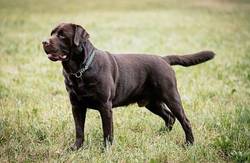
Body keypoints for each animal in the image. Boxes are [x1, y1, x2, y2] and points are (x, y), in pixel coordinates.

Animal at [42, 22, 214, 150]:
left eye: (62, 35)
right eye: (51, 33)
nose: (44, 41)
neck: (79, 70)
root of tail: (164, 59)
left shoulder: (105, 106)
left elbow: (107, 132)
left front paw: (106, 150)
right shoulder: (76, 106)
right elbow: (79, 130)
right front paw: (76, 148)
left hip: (171, 96)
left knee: (184, 120)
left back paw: (189, 144)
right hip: (152, 103)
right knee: (169, 117)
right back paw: (161, 134)